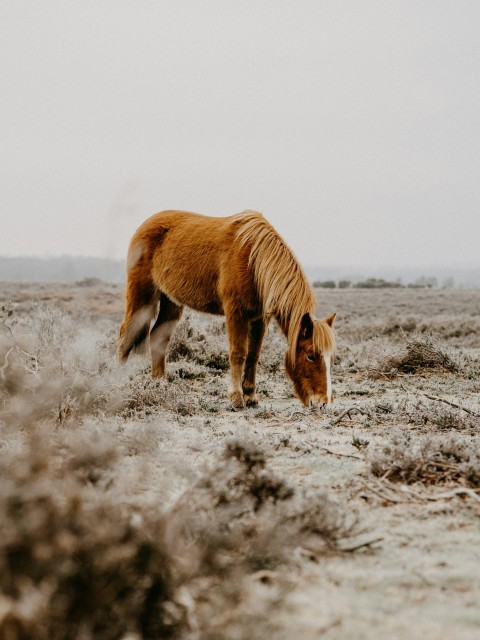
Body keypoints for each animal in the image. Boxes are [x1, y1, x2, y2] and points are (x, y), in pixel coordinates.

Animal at [118, 210, 336, 409]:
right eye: (311, 355)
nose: (322, 402)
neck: (252, 260)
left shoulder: (259, 319)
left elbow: (253, 356)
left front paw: (250, 396)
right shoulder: (235, 313)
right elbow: (238, 353)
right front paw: (237, 398)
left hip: (171, 301)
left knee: (157, 337)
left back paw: (160, 384)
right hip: (142, 297)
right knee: (126, 335)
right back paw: (117, 381)